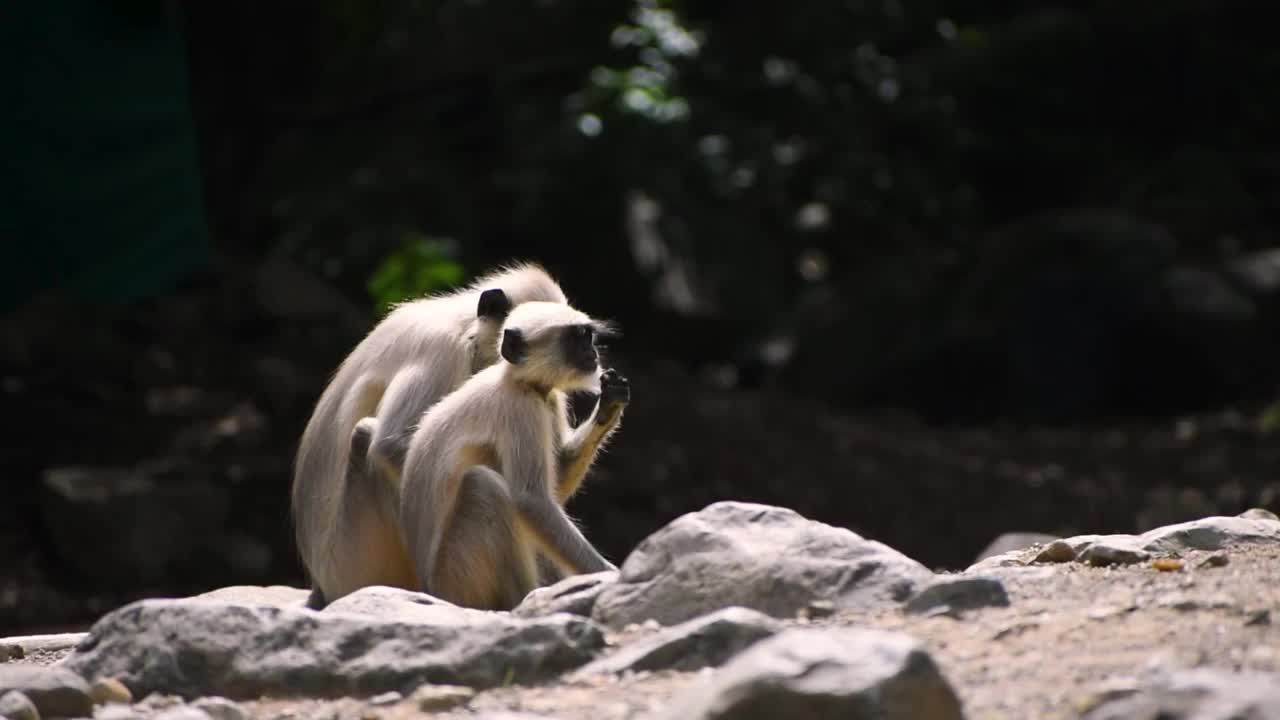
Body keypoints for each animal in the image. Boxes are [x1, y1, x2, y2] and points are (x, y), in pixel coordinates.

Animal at [294, 260, 570, 607]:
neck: (465, 325)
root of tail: (321, 584)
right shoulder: (443, 351)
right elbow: (391, 444)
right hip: (355, 561)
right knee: (369, 438)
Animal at [399, 299, 629, 607]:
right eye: (575, 338)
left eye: (587, 336)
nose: (591, 352)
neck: (517, 381)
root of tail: (429, 588)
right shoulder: (523, 408)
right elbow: (531, 500)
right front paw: (611, 575)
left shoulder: (549, 400)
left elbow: (555, 489)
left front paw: (609, 405)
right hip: (456, 576)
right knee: (484, 486)